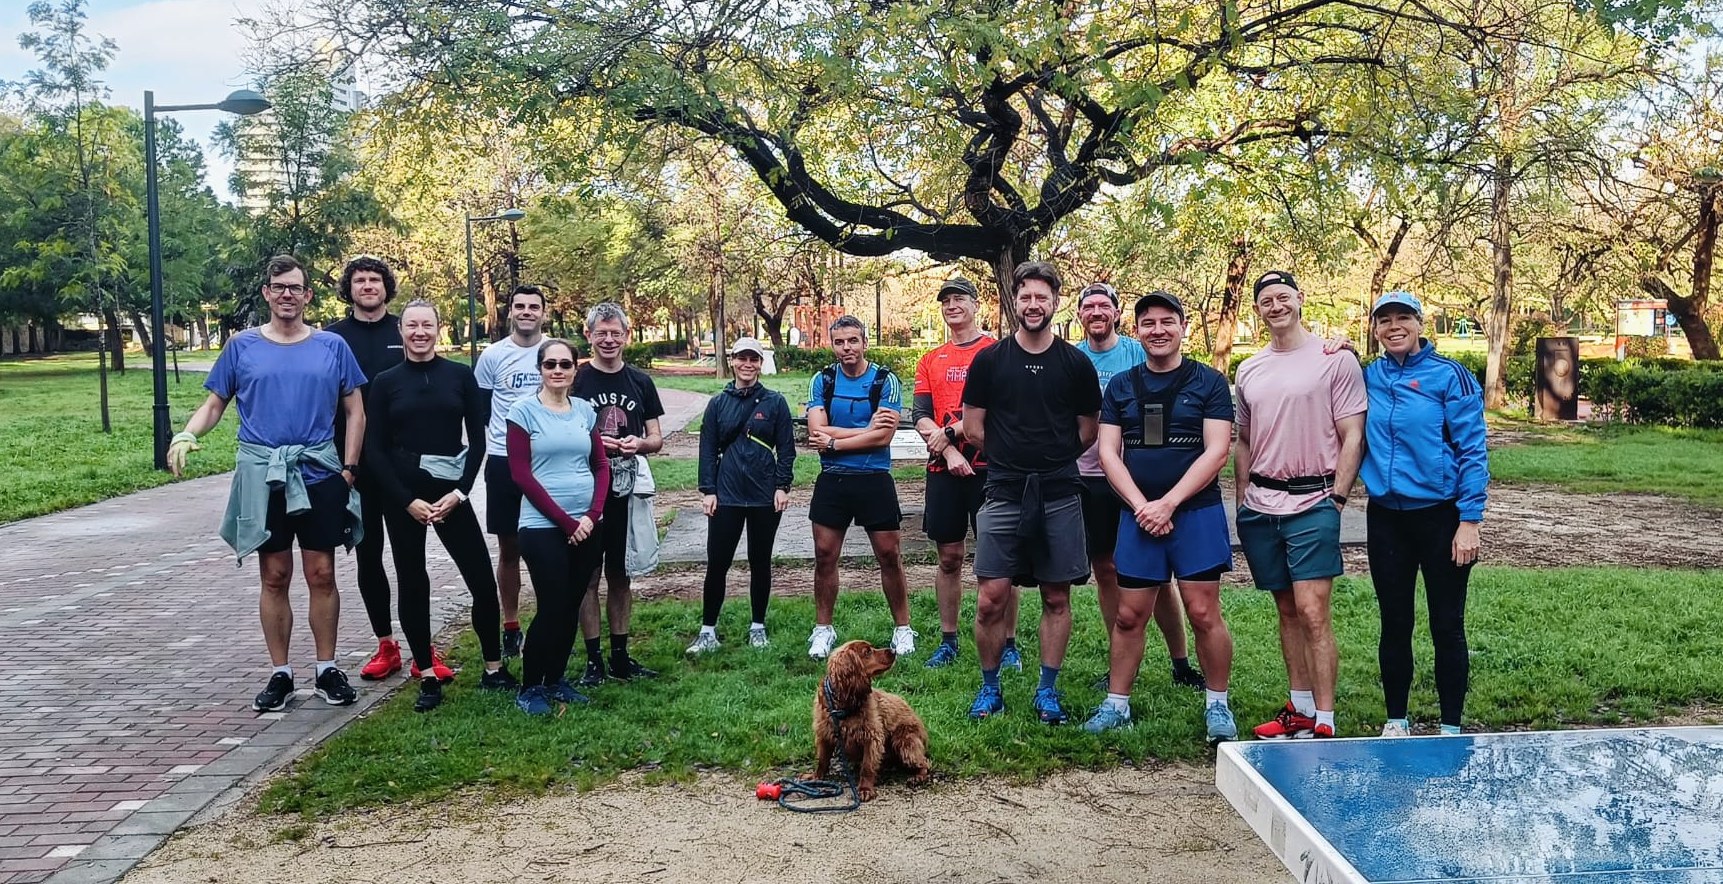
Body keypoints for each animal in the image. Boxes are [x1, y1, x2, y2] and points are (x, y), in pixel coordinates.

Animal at [814, 640, 931, 801]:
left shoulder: (871, 737)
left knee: (925, 763)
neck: (844, 705)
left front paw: (865, 789)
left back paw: (917, 777)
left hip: (904, 741)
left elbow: (867, 767)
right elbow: (822, 760)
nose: (894, 651)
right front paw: (814, 777)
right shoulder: (825, 733)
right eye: (867, 652)